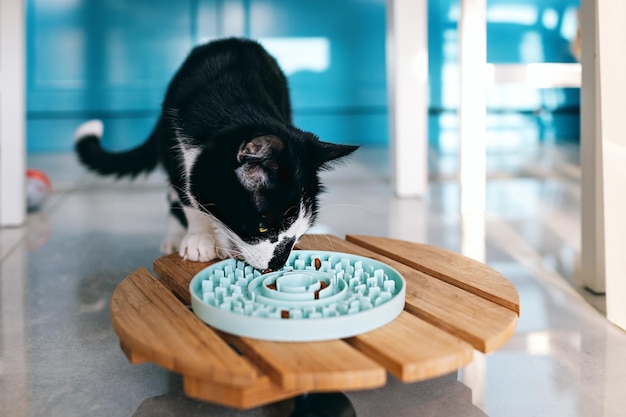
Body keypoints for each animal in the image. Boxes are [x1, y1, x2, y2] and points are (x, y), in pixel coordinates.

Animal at [73, 35, 356, 270]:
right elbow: (188, 196)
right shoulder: (178, 144)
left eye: (301, 231)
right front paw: (200, 239)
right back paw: (174, 236)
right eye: (263, 227)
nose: (276, 265)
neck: (238, 103)